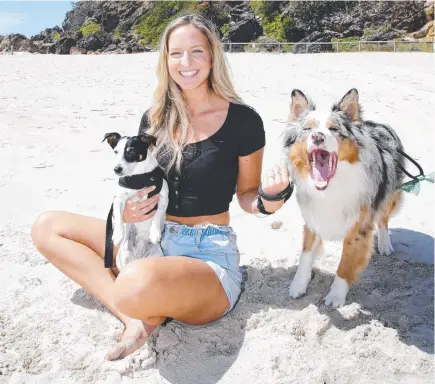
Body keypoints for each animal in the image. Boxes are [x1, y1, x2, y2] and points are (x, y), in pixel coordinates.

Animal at [103, 132, 169, 270]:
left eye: (131, 151)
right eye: (115, 152)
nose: (116, 169)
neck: (139, 177)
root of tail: (139, 255)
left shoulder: (163, 198)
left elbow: (157, 214)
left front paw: (154, 233)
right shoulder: (119, 199)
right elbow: (118, 216)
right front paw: (117, 234)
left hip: (156, 256)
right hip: (123, 259)